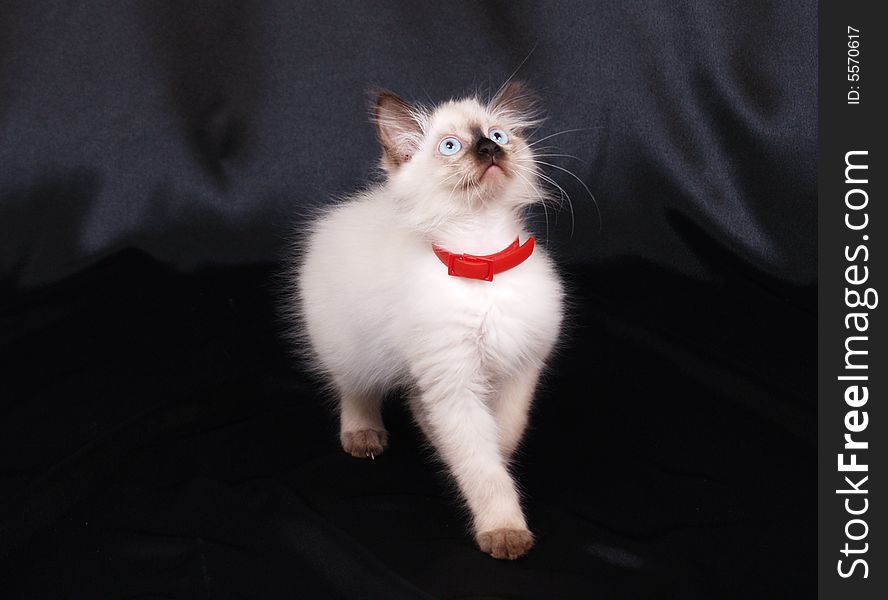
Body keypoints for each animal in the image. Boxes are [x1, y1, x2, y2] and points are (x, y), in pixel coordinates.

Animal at [294, 82, 564, 560]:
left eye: (497, 136)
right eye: (450, 146)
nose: (487, 148)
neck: (483, 259)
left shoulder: (520, 372)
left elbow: (501, 441)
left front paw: (496, 466)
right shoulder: (454, 384)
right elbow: (482, 466)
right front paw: (504, 529)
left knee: (419, 406)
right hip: (351, 348)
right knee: (356, 390)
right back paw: (363, 435)